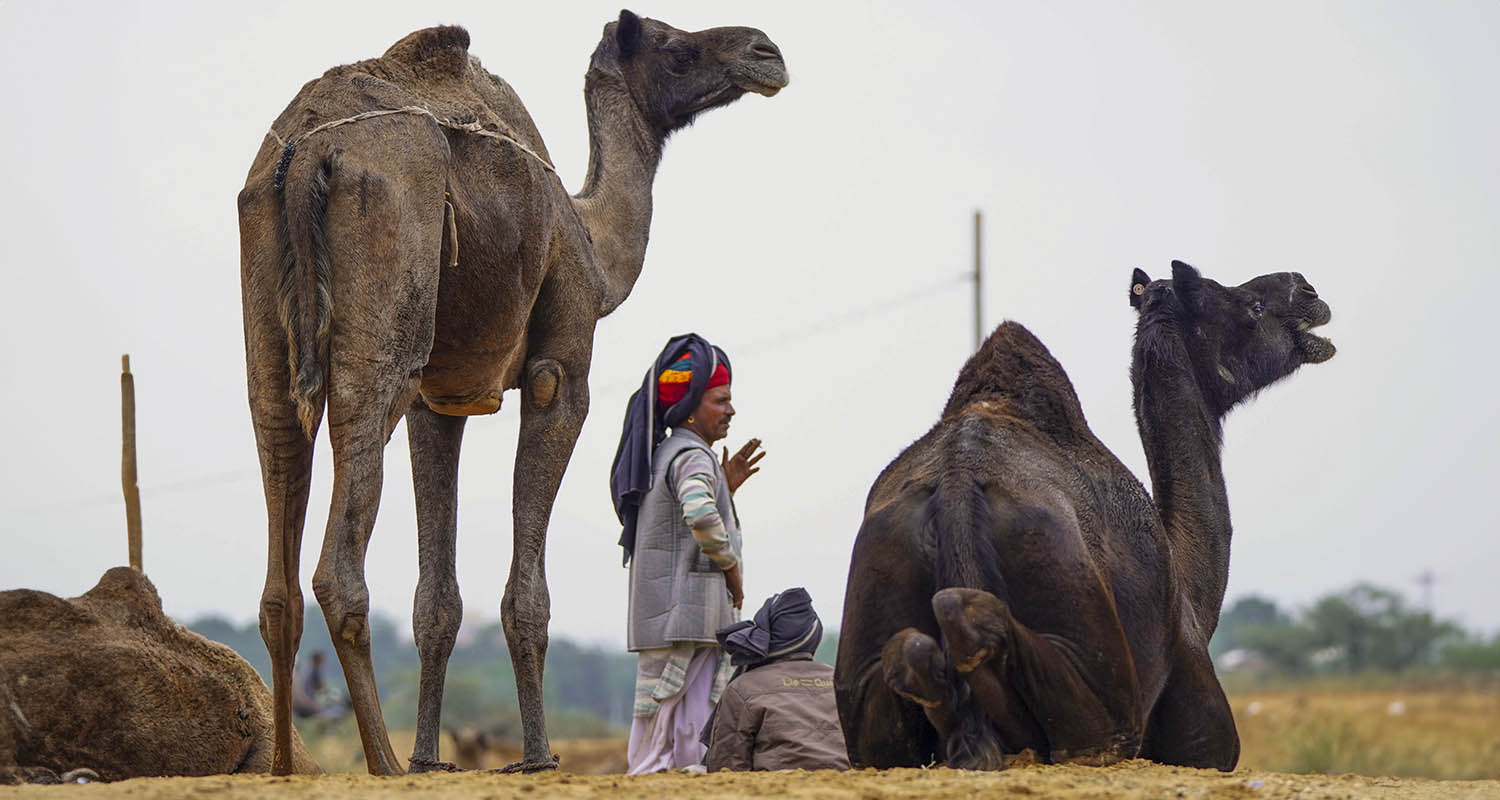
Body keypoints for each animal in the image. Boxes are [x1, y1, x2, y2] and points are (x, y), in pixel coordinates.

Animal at [237, 12, 786, 775]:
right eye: (677, 48)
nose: (766, 52)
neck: (592, 240)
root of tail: (313, 148)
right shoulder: (562, 370)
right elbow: (529, 594)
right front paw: (536, 756)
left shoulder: (437, 399)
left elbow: (437, 601)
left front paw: (432, 757)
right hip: (387, 283)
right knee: (340, 540)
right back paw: (380, 763)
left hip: (265, 287)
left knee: (278, 467)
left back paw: (289, 765)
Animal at [834, 261, 1335, 770]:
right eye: (1249, 307)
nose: (1307, 289)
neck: (1188, 585)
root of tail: (957, 483)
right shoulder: (1203, 733)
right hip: (1094, 671)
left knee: (911, 652)